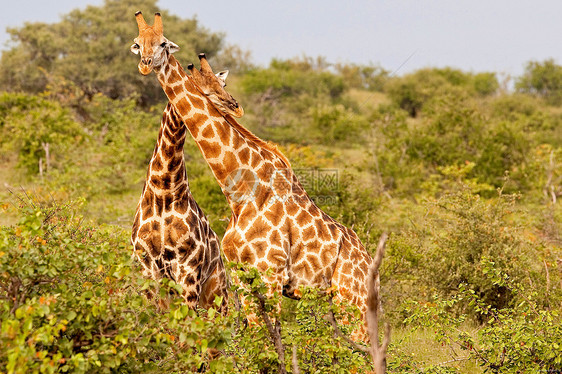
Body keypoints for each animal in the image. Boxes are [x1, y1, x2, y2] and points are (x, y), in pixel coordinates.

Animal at [132, 11, 372, 340]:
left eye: (163, 43)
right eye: (137, 43)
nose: (146, 63)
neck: (240, 192)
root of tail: (371, 265)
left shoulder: (270, 273)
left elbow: (269, 339)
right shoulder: (242, 275)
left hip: (352, 299)